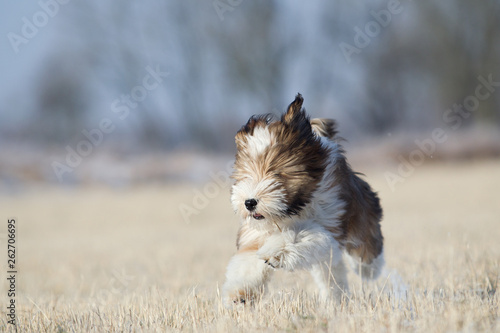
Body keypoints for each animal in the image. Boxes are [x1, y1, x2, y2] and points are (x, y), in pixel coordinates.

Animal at [223, 93, 382, 306]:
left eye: (277, 174)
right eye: (245, 175)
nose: (249, 202)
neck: (293, 211)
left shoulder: (330, 219)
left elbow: (300, 236)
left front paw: (277, 252)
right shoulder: (255, 233)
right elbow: (248, 260)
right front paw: (240, 292)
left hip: (362, 216)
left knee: (365, 248)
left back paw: (369, 269)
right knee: (331, 273)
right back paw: (335, 298)